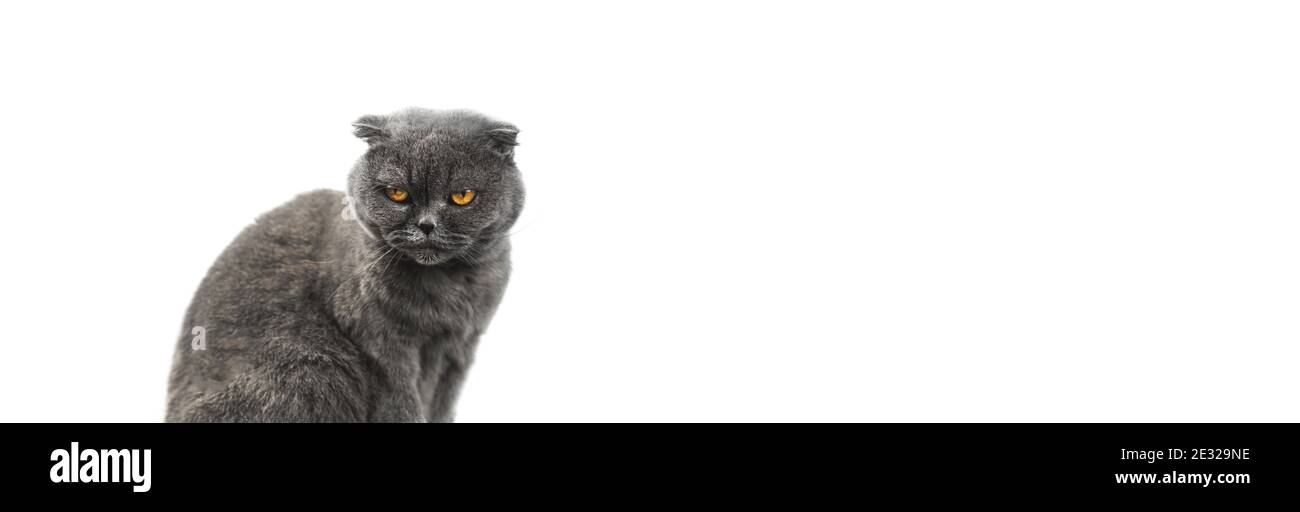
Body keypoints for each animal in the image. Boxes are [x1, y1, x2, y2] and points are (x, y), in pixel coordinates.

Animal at [166, 107, 522, 421]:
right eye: (396, 193)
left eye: (463, 196)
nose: (426, 225)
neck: (447, 289)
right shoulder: (381, 346)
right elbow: (402, 406)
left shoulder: (459, 349)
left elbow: (441, 406)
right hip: (319, 367)